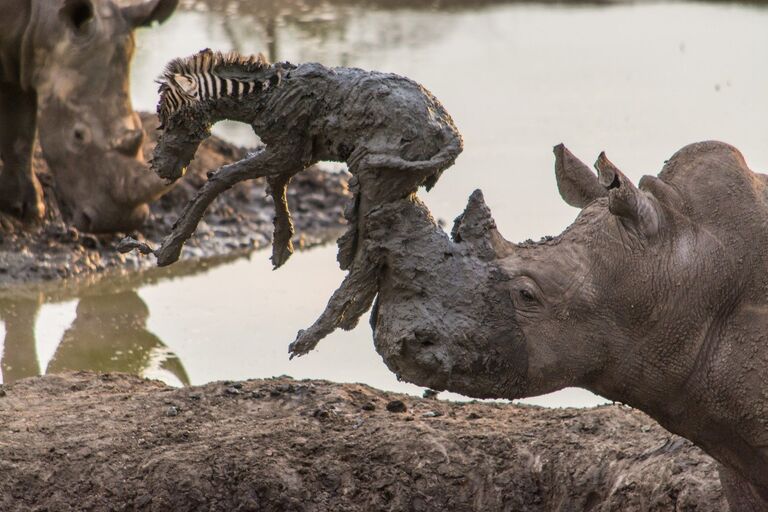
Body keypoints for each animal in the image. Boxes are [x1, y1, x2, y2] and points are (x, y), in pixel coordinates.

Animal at [0, 0, 176, 230]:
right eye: (77, 135)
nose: (119, 222)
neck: (45, 19)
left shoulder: (22, 57)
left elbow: (21, 131)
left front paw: (27, 209)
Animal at [140, 48, 460, 278]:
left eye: (173, 120)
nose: (158, 167)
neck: (267, 95)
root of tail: (451, 131)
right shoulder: (298, 153)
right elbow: (274, 184)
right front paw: (282, 247)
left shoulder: (286, 149)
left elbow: (222, 177)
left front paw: (168, 251)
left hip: (382, 178)